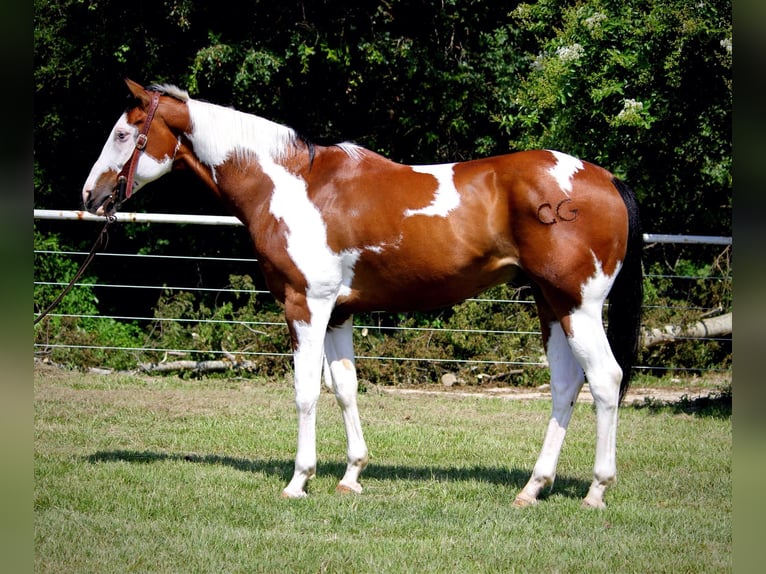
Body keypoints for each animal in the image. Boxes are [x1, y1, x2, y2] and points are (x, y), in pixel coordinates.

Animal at [82, 79, 642, 508]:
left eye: (123, 133)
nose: (90, 196)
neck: (292, 186)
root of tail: (607, 178)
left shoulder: (305, 306)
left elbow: (306, 392)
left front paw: (298, 481)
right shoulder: (338, 312)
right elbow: (345, 388)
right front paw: (351, 476)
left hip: (578, 306)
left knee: (605, 380)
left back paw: (596, 491)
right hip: (551, 305)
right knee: (566, 385)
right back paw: (532, 488)